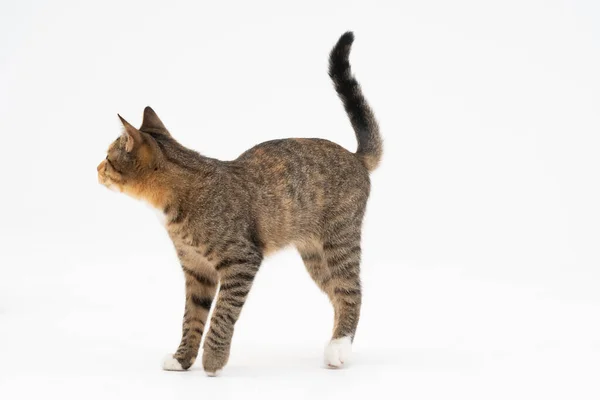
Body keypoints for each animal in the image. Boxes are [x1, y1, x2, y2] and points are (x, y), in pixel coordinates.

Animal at [96, 31, 382, 376]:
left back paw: (339, 347)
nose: (96, 168)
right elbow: (192, 317)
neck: (181, 194)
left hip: (338, 241)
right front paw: (182, 358)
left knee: (351, 290)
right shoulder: (196, 270)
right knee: (338, 293)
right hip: (315, 256)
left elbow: (222, 314)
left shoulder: (241, 260)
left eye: (109, 158)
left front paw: (213, 359)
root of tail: (355, 157)